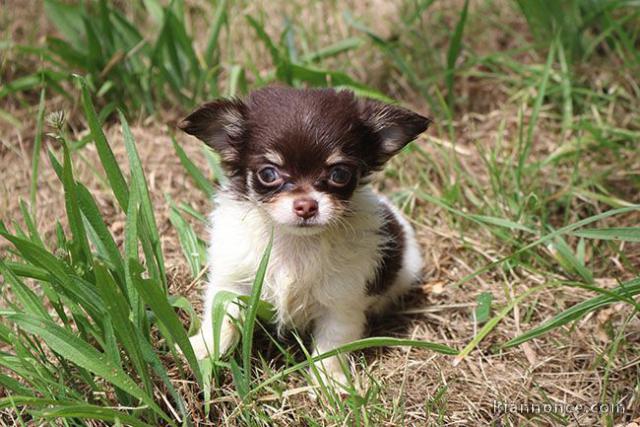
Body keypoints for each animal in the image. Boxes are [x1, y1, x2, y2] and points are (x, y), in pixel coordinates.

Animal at [178, 87, 432, 388]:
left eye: (339, 174)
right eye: (268, 173)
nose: (306, 206)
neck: (294, 243)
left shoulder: (341, 304)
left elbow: (331, 348)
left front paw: (329, 385)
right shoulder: (233, 282)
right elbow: (221, 319)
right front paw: (201, 349)